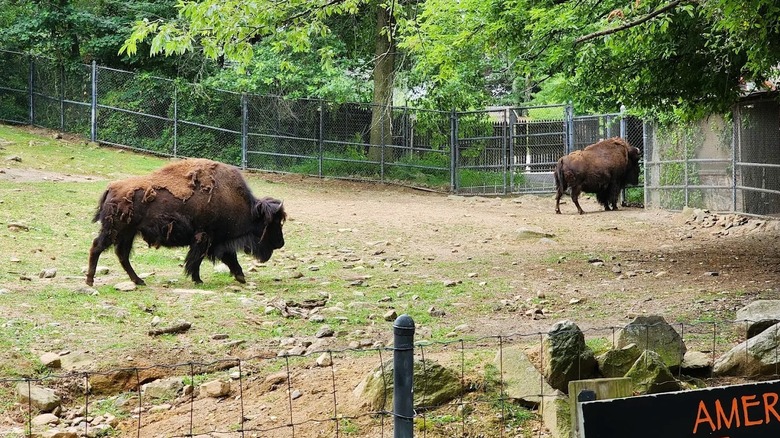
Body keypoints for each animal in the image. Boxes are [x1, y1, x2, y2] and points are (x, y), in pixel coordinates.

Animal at [86, 158, 286, 286]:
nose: (281, 243)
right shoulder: (205, 238)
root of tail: (111, 188)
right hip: (115, 231)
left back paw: (139, 281)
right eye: (272, 223)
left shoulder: (217, 241)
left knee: (122, 255)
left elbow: (229, 258)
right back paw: (90, 281)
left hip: (128, 234)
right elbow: (197, 260)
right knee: (97, 247)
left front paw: (240, 277)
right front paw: (198, 280)